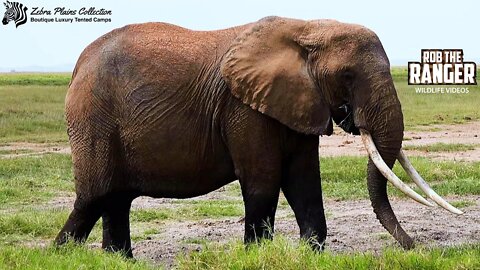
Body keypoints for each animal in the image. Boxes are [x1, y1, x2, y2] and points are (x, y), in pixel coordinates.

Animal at [56, 15, 462, 256]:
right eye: (347, 76)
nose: (415, 247)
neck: (307, 29)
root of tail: (78, 65)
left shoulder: (298, 101)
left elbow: (304, 182)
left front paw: (310, 255)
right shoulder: (244, 108)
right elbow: (264, 180)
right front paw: (259, 256)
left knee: (115, 200)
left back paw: (117, 260)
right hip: (94, 118)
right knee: (94, 197)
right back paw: (61, 254)